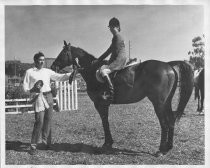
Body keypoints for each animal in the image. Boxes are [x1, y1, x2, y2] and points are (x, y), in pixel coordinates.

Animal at [50, 40, 194, 156]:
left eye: (63, 53)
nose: (52, 66)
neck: (92, 70)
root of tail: (168, 65)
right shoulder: (103, 105)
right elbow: (105, 122)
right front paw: (108, 142)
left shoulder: (100, 104)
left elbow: (105, 122)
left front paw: (107, 143)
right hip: (166, 103)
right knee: (171, 120)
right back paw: (168, 147)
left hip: (158, 103)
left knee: (164, 123)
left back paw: (160, 150)